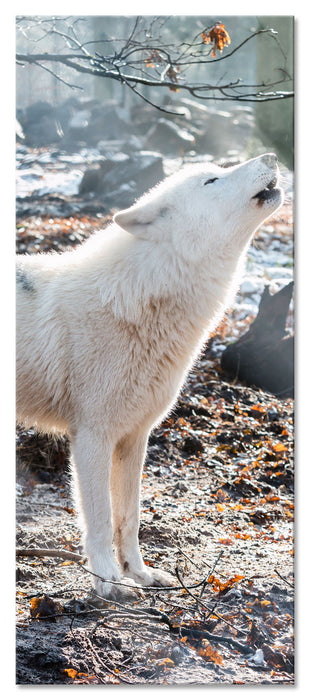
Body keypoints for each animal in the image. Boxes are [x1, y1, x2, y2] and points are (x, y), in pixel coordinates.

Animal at [16, 156, 284, 600]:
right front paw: (109, 582)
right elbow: (100, 519)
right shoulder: (92, 436)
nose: (272, 159)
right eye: (212, 180)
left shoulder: (135, 437)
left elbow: (130, 517)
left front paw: (138, 573)